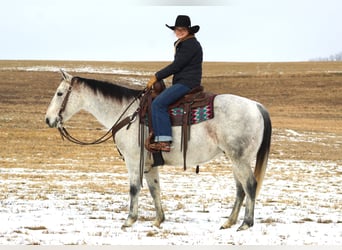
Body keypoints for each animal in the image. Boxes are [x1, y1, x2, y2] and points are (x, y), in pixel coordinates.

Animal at [44, 69, 272, 231]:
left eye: (60, 93)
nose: (48, 119)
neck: (128, 115)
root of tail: (257, 106)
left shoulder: (133, 161)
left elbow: (134, 188)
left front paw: (129, 220)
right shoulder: (149, 164)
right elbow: (155, 189)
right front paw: (158, 220)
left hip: (240, 159)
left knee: (250, 185)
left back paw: (246, 223)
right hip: (235, 159)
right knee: (240, 189)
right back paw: (229, 222)